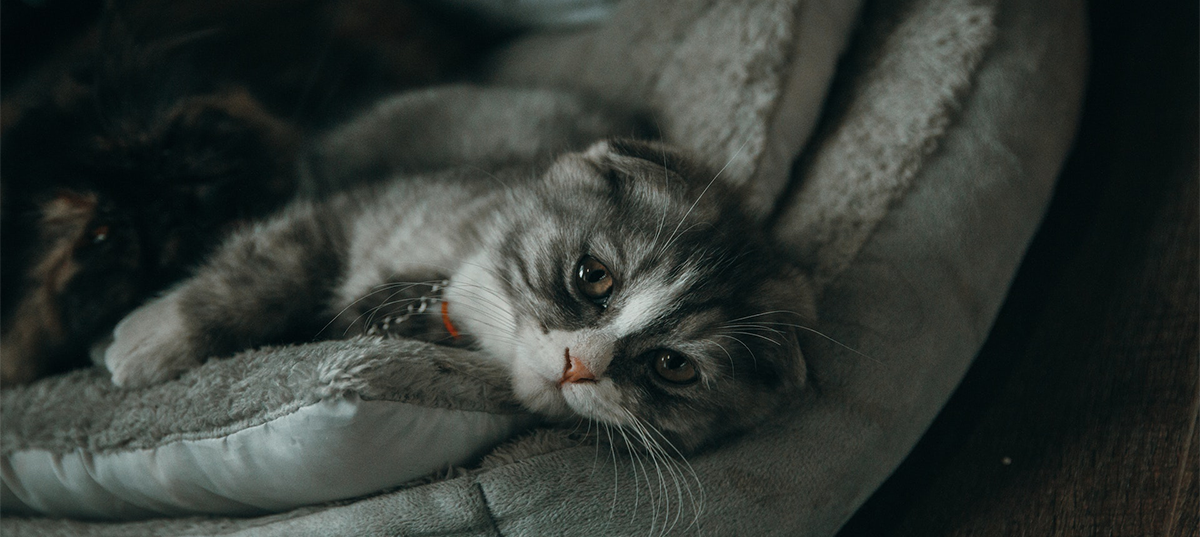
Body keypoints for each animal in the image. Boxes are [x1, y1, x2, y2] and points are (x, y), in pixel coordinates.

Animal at [103, 130, 816, 453]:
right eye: (594, 276)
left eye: (673, 366)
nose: (579, 365)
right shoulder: (354, 215)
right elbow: (263, 271)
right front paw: (152, 340)